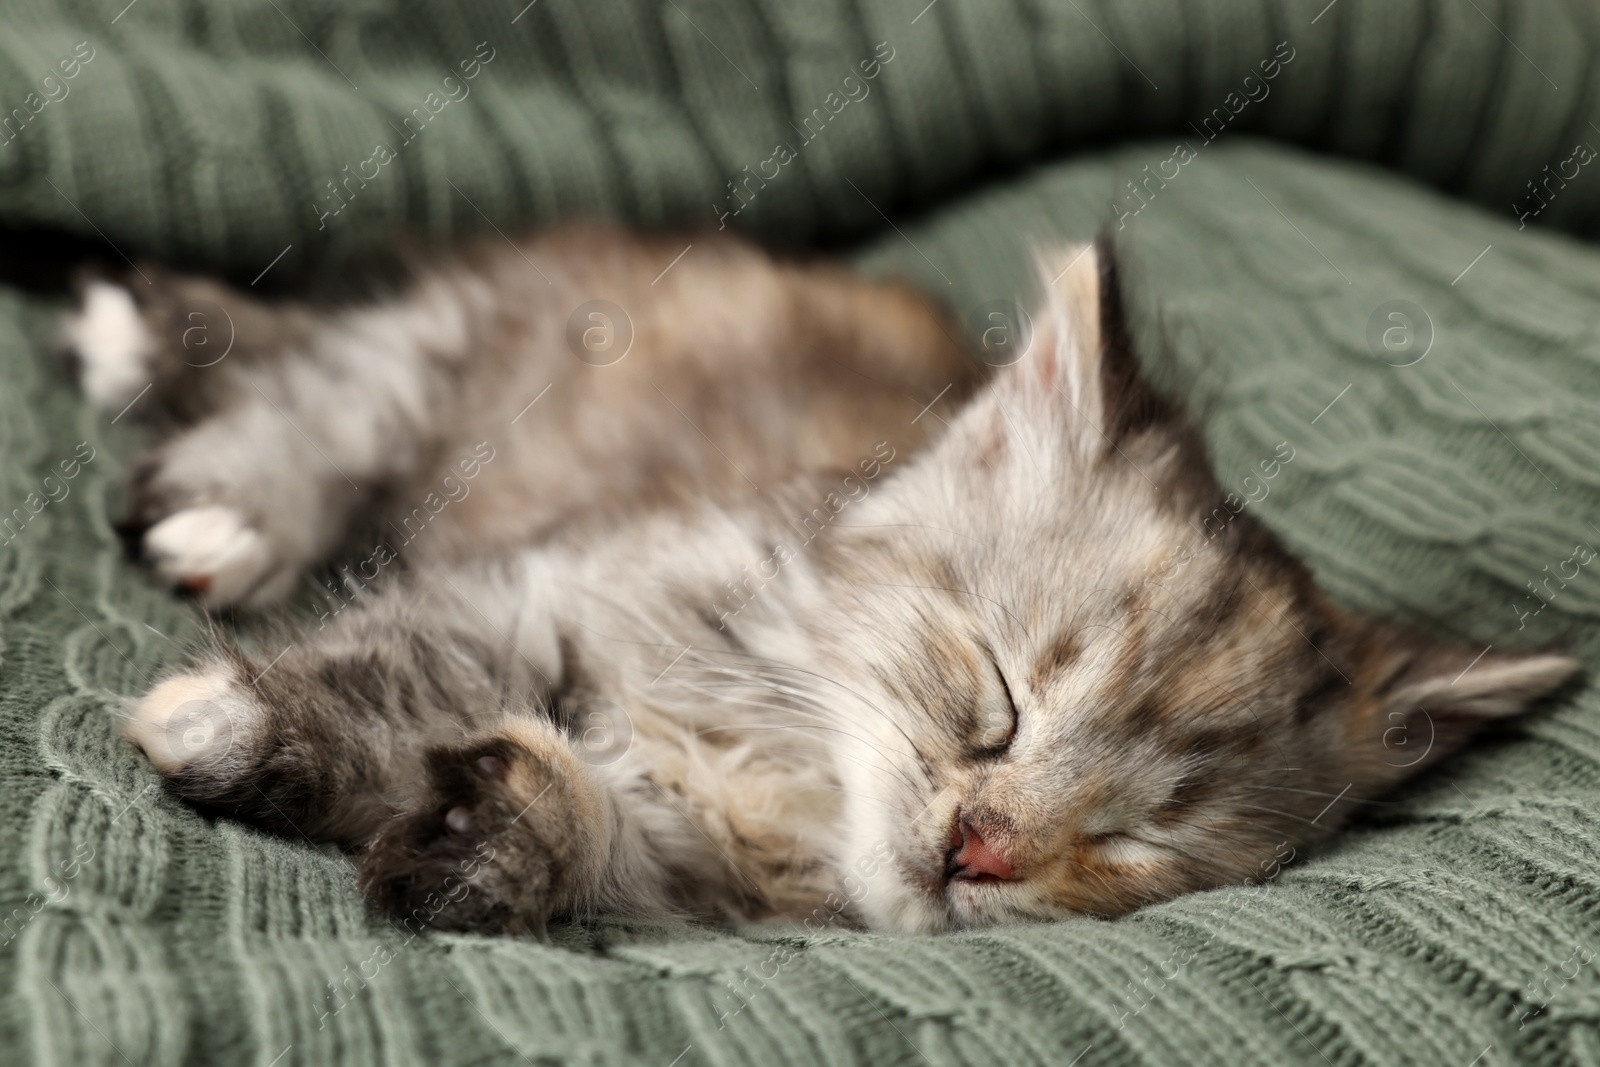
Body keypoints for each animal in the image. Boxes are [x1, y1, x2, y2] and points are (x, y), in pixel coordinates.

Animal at [65, 227, 1574, 934]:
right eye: (998, 699)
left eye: (1143, 835)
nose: (981, 846)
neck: (787, 760)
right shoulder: (544, 595)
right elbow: (390, 669)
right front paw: (223, 723)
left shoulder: (688, 865)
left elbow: (585, 828)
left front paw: (495, 831)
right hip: (448, 365)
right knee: (318, 391)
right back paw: (211, 479)